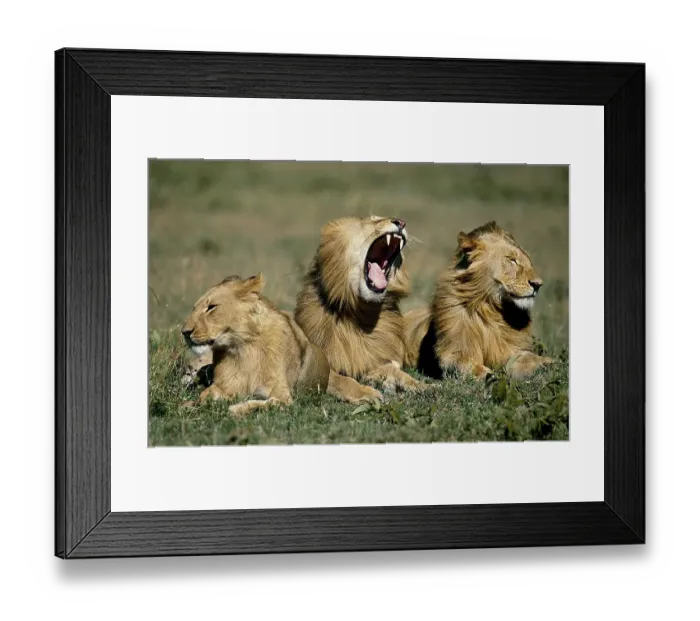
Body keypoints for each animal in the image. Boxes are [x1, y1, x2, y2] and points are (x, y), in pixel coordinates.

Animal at [181, 273, 330, 417]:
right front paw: (193, 404)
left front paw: (234, 408)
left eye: (211, 307)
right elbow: (205, 394)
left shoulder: (283, 397)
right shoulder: (225, 385)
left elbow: (265, 404)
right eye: (194, 308)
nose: (184, 332)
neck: (244, 346)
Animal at [294, 215, 426, 403]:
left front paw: (419, 384)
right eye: (373, 221)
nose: (401, 222)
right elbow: (341, 379)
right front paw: (365, 393)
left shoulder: (369, 358)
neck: (363, 313)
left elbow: (392, 369)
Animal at [405, 221, 553, 381]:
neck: (491, 309)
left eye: (528, 261)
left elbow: (526, 358)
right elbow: (465, 365)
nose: (538, 284)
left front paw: (546, 363)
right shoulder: (454, 353)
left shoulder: (514, 350)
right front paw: (488, 375)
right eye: (512, 259)